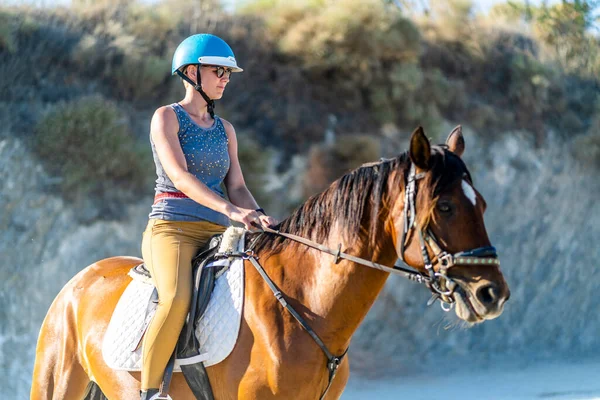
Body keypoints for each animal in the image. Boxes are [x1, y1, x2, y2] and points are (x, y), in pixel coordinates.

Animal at [30, 126, 508, 400]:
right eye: (444, 206)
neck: (301, 307)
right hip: (55, 385)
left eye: (483, 204)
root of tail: (78, 282)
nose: (492, 294)